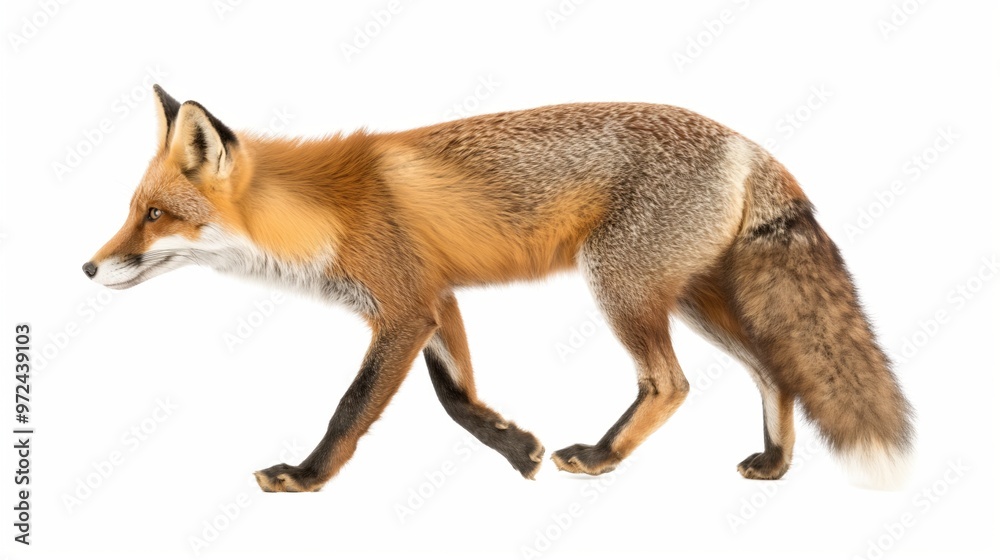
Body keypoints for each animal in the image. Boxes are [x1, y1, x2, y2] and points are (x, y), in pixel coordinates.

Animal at [83, 85, 913, 493]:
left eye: (155, 216)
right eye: (131, 209)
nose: (88, 269)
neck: (323, 211)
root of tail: (749, 145)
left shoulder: (403, 308)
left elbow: (352, 408)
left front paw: (307, 476)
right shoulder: (435, 301)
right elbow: (456, 399)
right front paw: (517, 448)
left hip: (622, 286)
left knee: (671, 383)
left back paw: (602, 457)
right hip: (689, 297)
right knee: (775, 371)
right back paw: (774, 464)